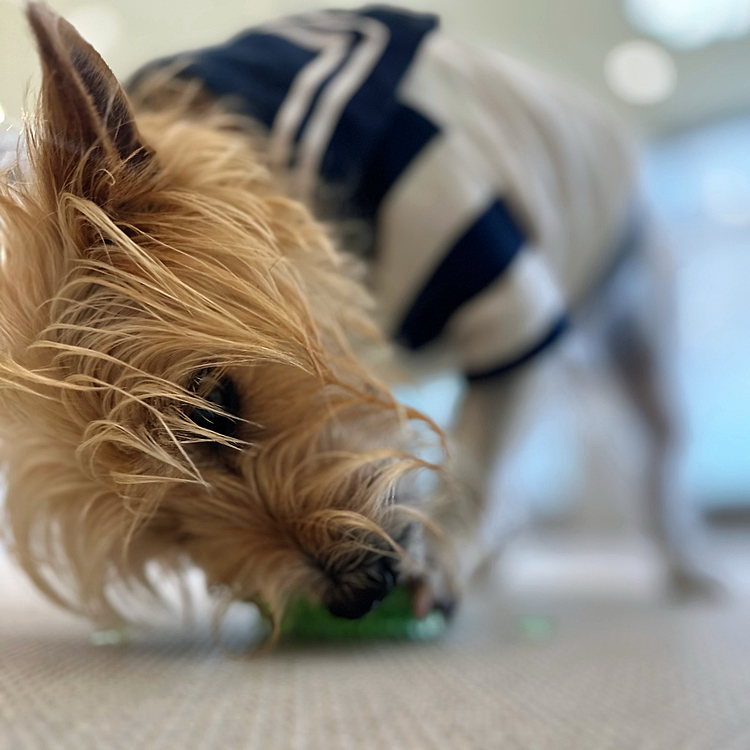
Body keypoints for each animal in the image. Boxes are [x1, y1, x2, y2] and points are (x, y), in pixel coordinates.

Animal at [0, 5, 720, 640]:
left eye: (211, 406)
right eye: (164, 528)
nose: (355, 599)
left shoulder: (501, 297)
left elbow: (479, 464)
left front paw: (442, 557)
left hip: (632, 316)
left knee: (658, 453)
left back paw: (689, 567)